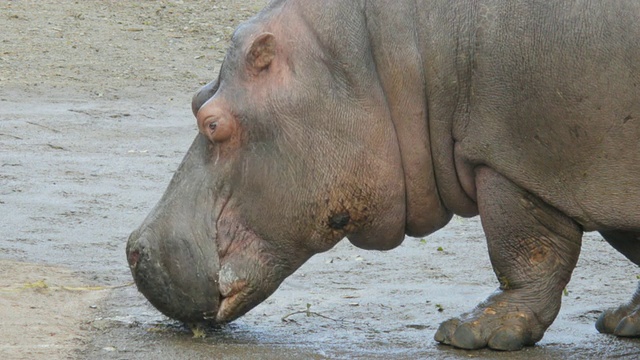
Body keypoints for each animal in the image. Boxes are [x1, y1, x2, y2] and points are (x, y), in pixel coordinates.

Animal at [125, 0, 640, 350]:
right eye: (194, 96)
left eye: (212, 123)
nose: (134, 248)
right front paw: (623, 321)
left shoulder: (509, 159)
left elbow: (525, 250)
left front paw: (472, 332)